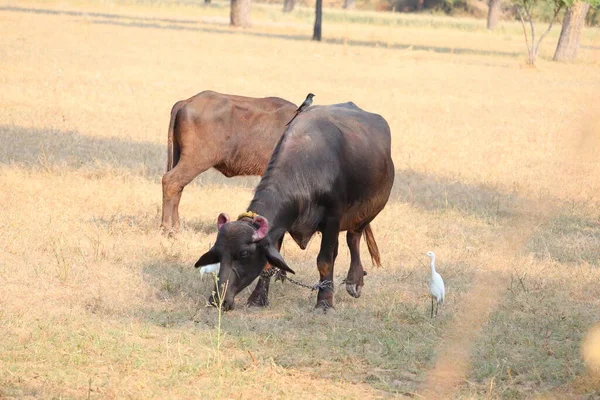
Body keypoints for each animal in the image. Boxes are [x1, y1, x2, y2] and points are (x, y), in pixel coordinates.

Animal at [195, 101, 396, 310]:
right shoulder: (280, 226)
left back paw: (354, 280)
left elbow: (324, 261)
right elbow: (270, 263)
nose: (218, 299)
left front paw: (324, 302)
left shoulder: (333, 217)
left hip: (367, 211)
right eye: (218, 253)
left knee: (353, 238)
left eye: (244, 253)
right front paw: (257, 298)